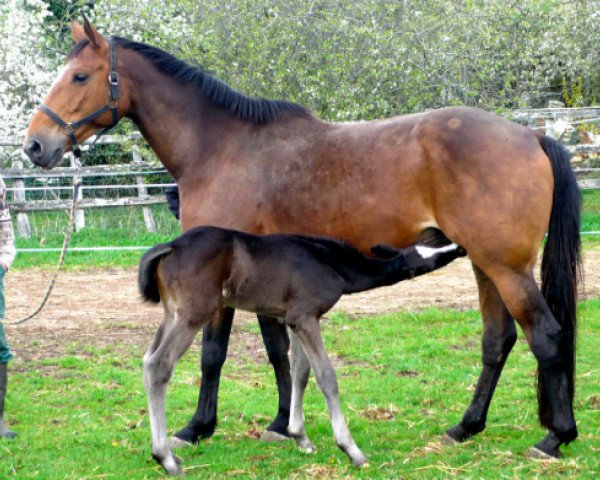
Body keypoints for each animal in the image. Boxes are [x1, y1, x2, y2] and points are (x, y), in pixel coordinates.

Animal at [137, 227, 464, 474]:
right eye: (430, 261)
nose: (461, 247)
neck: (329, 262)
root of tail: (171, 246)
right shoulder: (306, 317)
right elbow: (326, 377)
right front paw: (351, 450)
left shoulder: (295, 319)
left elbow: (300, 373)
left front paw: (300, 437)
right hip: (194, 313)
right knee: (159, 364)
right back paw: (166, 459)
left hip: (172, 314)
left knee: (147, 360)